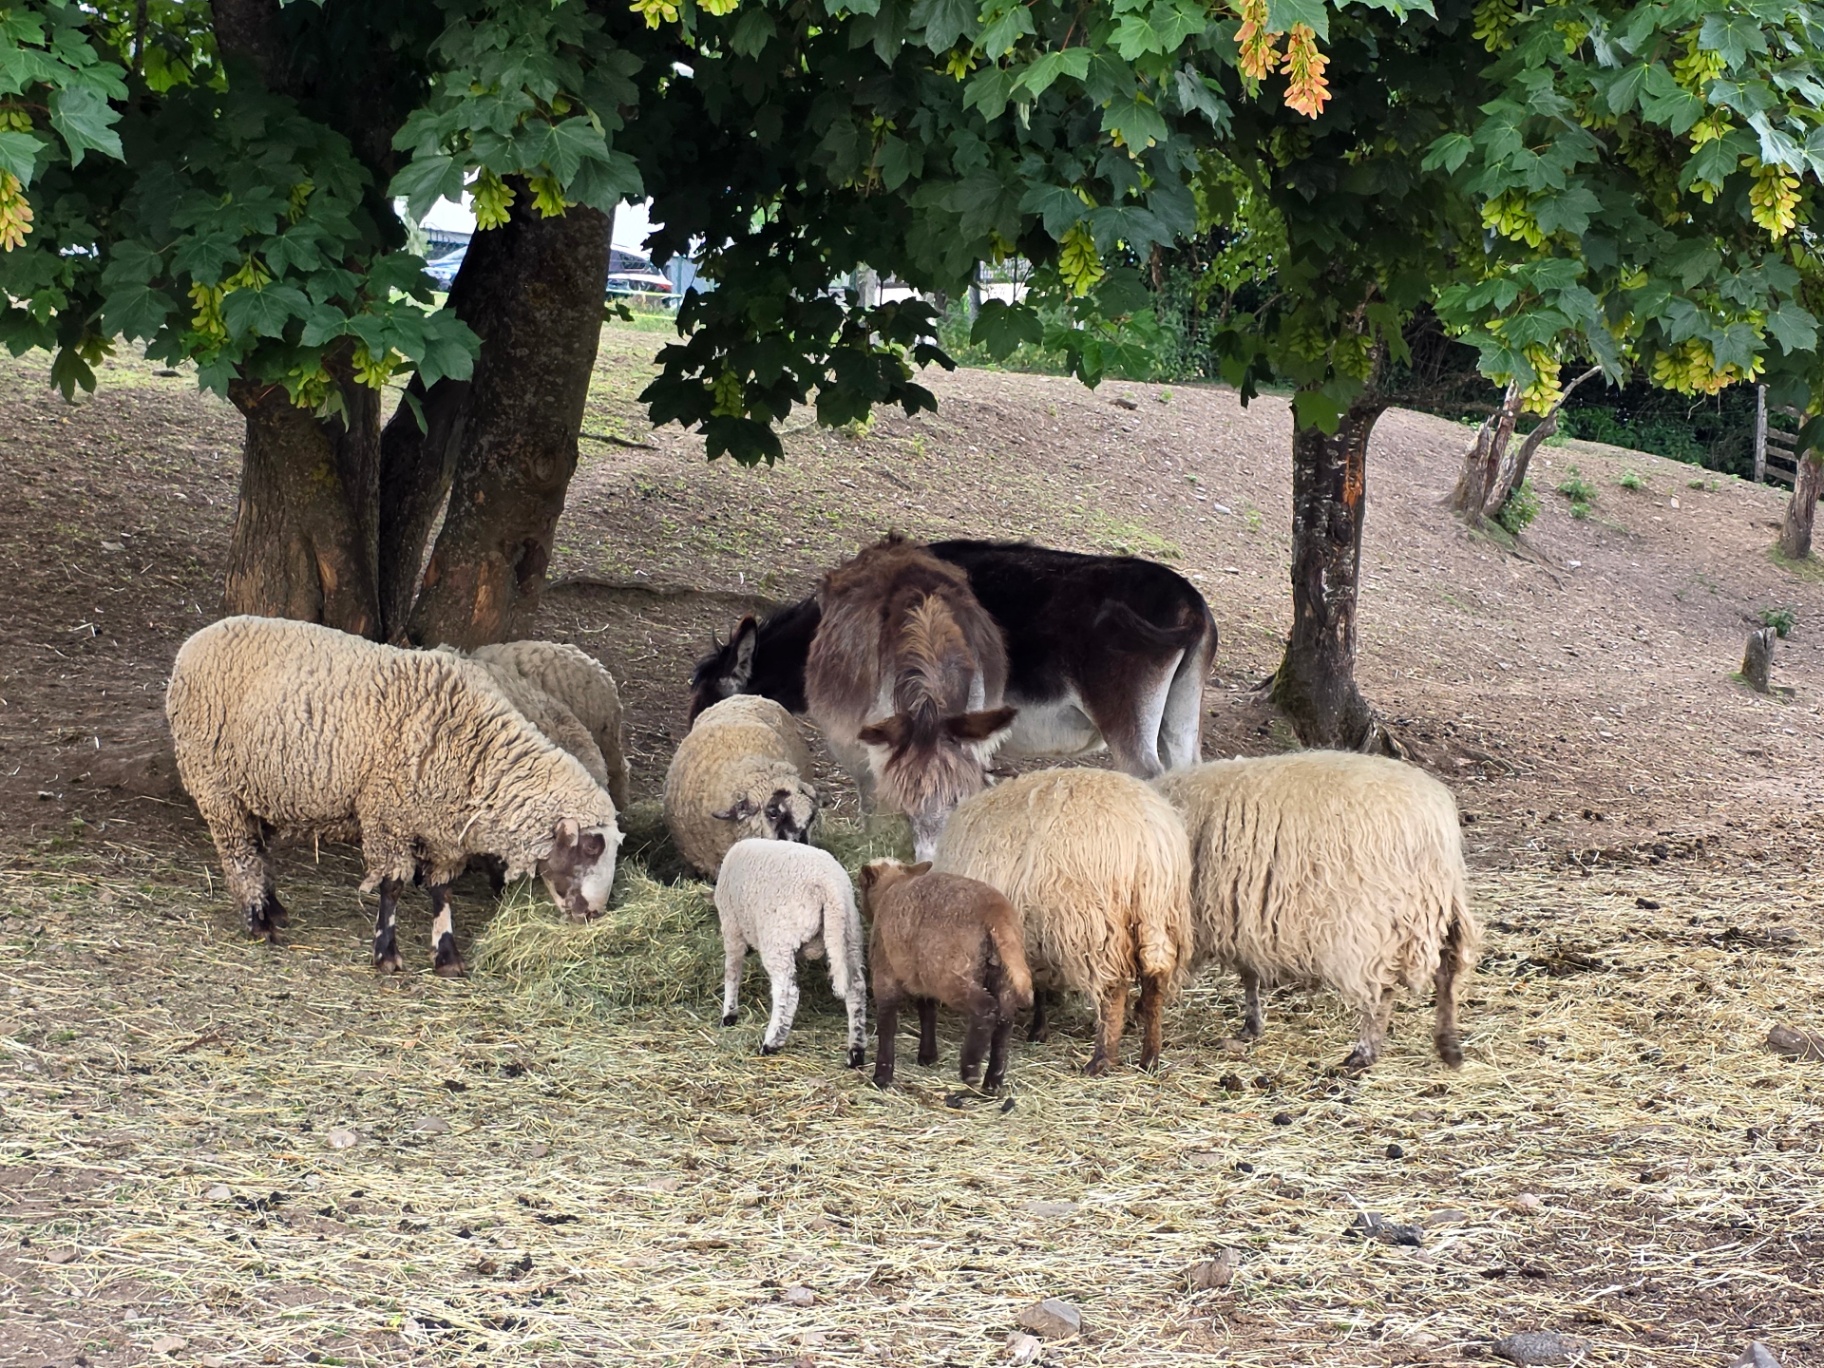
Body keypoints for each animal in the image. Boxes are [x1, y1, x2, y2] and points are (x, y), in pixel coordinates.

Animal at [714, 838, 867, 1066]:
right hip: (849, 936)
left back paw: (771, 1043)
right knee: (856, 989)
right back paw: (856, 1051)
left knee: (787, 992)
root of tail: (830, 887)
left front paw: (729, 1014)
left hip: (778, 939)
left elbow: (732, 972)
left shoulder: (732, 927)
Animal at [859, 859, 1033, 1092]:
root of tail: (996, 911)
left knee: (986, 1009)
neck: (892, 886)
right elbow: (927, 1012)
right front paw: (928, 1056)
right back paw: (992, 1084)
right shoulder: (920, 979)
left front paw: (882, 1076)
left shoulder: (884, 973)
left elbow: (887, 1023)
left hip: (952, 974)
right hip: (1001, 973)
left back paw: (970, 1068)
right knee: (1005, 1020)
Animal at [931, 768, 1194, 1075]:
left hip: (1095, 925)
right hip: (1160, 917)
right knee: (1155, 984)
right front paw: (1038, 1029)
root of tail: (1149, 836)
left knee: (1114, 990)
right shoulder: (1035, 930)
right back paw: (1150, 1057)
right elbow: (1040, 984)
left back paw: (1101, 1059)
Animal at [1153, 751, 1482, 1071]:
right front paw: (1252, 1024)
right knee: (1448, 972)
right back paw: (1449, 1046)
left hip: (1377, 919)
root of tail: (1434, 819)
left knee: (1383, 990)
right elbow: (1249, 974)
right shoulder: (1243, 911)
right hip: (1436, 906)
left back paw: (1363, 1054)